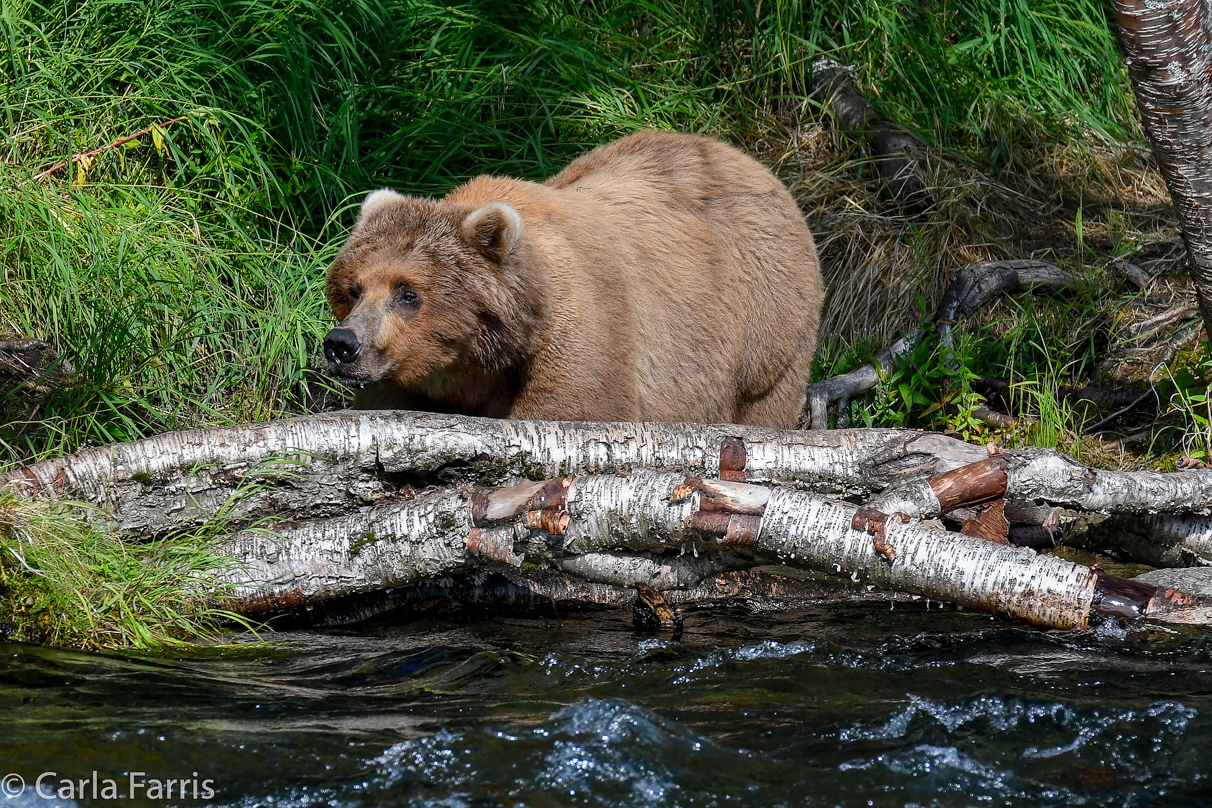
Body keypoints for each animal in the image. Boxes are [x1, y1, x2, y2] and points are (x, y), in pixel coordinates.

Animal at [324, 131, 824, 428]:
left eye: (408, 293)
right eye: (353, 289)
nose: (342, 344)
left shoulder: (584, 327)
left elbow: (575, 407)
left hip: (765, 328)